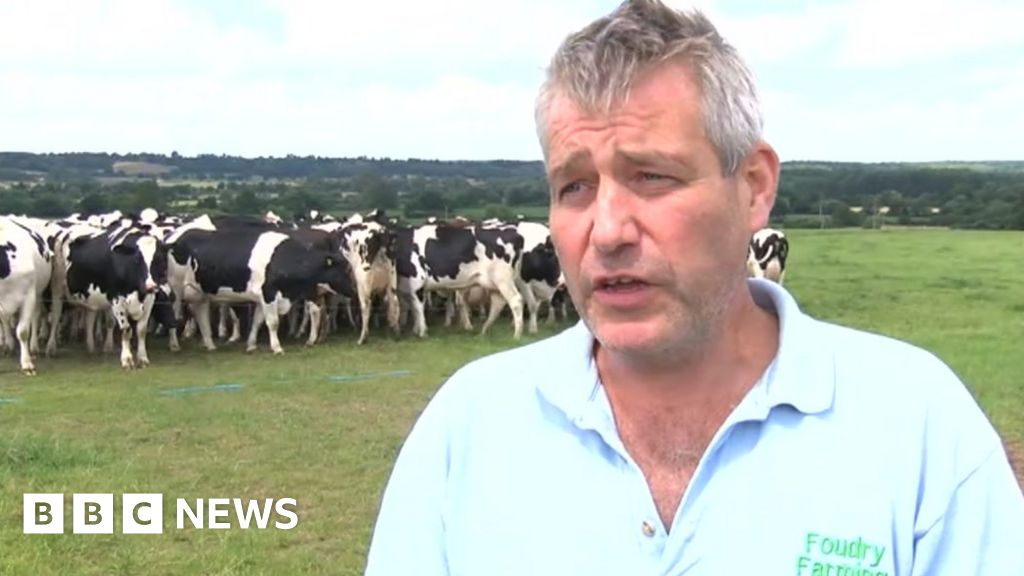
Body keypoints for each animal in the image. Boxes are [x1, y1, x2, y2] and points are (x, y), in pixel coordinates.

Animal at [0, 214, 52, 373]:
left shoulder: (29, 296)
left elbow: (22, 331)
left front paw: (27, 363)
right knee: (5, 320)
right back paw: (8, 345)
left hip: (38, 293)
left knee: (36, 317)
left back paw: (33, 347)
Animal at [395, 219, 524, 336]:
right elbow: (412, 307)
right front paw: (416, 330)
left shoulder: (417, 281)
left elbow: (418, 308)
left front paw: (422, 332)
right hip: (492, 282)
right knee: (498, 303)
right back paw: (483, 331)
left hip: (502, 278)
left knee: (515, 300)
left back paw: (517, 335)